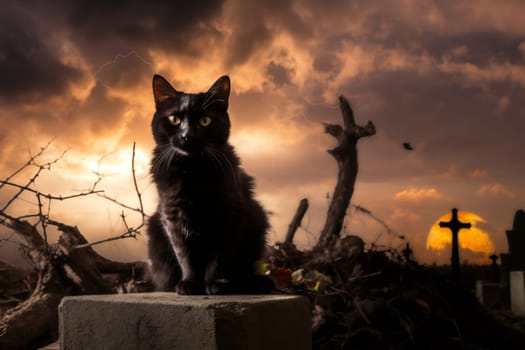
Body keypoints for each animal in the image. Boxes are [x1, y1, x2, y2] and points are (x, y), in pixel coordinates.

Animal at [145, 74, 272, 296]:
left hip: (258, 220)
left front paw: (216, 283)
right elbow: (185, 256)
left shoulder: (229, 215)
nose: (187, 136)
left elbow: (219, 258)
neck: (193, 171)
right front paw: (189, 283)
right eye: (174, 119)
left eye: (205, 121)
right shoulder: (172, 216)